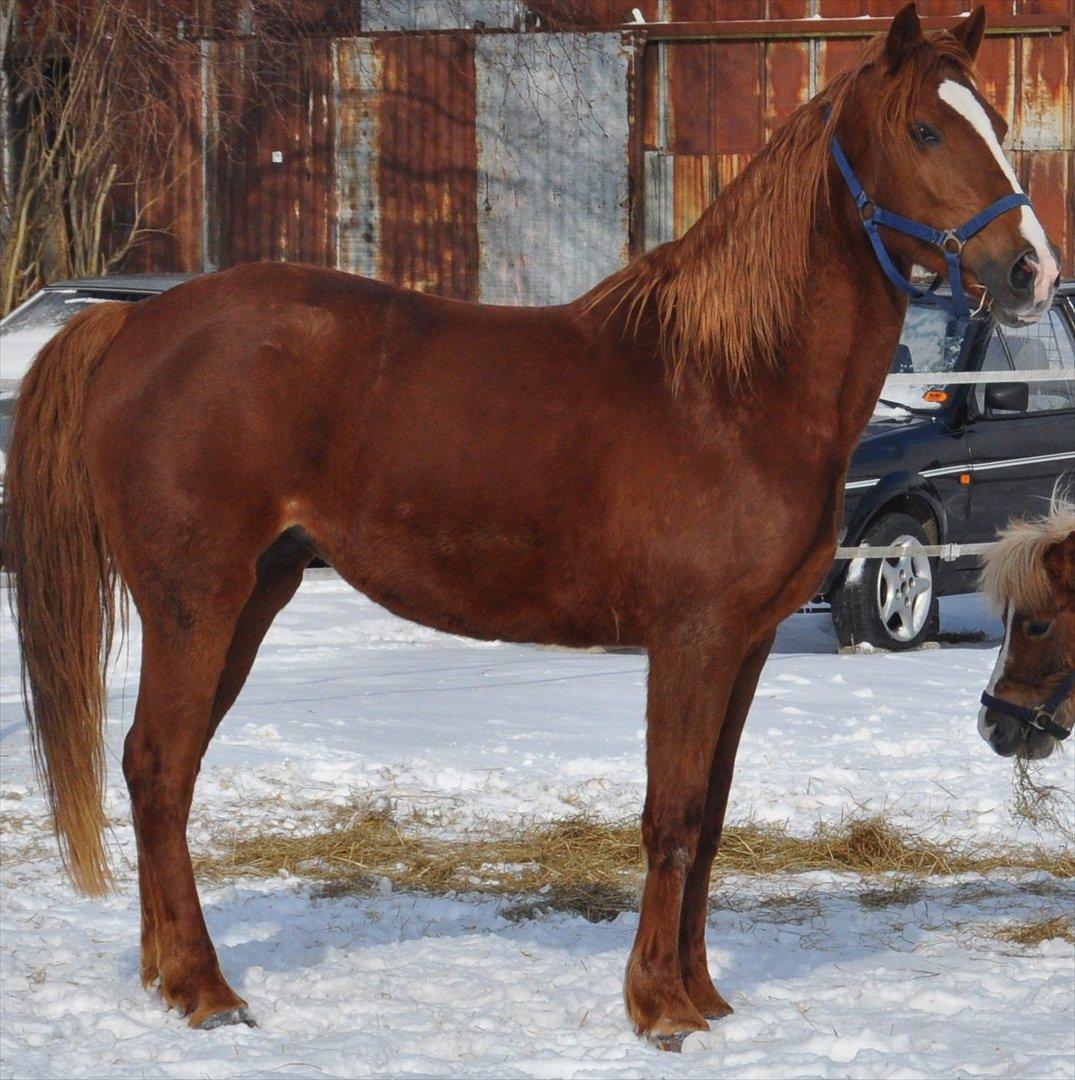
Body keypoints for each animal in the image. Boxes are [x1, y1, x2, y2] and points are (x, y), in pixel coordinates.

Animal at [5, 3, 1062, 1048]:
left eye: (998, 126)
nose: (1030, 270)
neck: (731, 385)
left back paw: (166, 977)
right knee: (156, 768)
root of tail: (134, 326)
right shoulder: (692, 639)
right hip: (197, 602)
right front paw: (660, 1008)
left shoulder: (748, 644)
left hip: (254, 594)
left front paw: (704, 996)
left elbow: (712, 814)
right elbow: (673, 813)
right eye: (923, 131)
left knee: (164, 773)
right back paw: (204, 989)